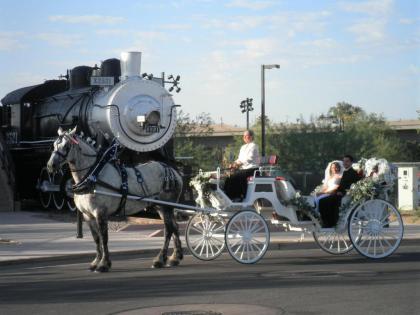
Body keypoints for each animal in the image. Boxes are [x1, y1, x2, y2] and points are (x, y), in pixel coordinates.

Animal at [46, 127, 183, 272]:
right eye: (54, 145)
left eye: (67, 146)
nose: (50, 165)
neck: (93, 176)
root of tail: (173, 172)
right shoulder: (87, 215)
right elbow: (96, 238)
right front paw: (95, 262)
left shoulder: (100, 212)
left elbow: (104, 238)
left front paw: (104, 264)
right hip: (161, 207)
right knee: (174, 227)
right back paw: (175, 257)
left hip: (166, 206)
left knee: (168, 229)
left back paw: (160, 259)